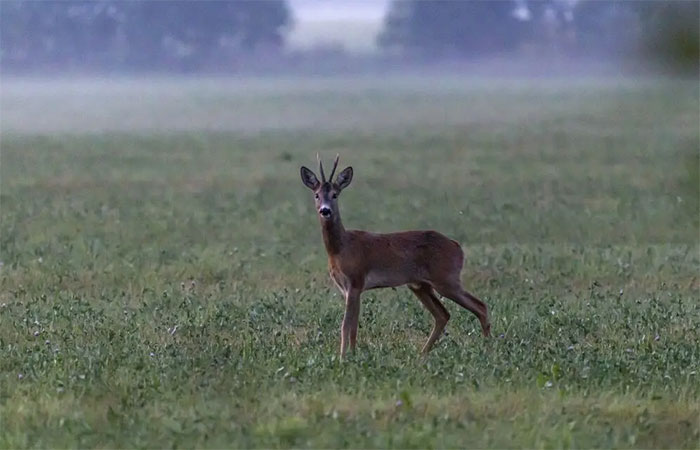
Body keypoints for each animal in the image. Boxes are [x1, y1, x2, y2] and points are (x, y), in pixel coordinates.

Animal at [300, 155, 492, 358]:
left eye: (335, 194)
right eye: (316, 195)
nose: (325, 210)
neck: (341, 248)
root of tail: (457, 247)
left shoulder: (355, 282)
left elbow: (346, 325)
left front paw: (343, 357)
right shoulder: (348, 288)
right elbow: (353, 326)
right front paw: (351, 354)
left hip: (447, 279)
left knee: (480, 306)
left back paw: (487, 349)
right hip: (420, 285)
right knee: (443, 314)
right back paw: (422, 354)